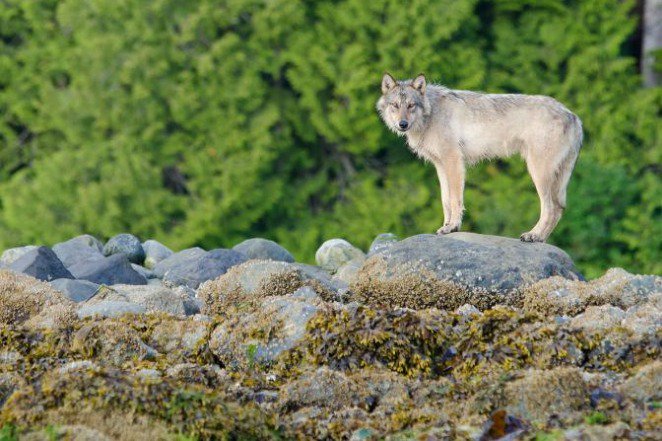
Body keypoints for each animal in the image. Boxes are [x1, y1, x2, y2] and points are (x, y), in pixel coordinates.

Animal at [376, 73, 582, 242]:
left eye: (411, 105)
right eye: (395, 105)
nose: (403, 124)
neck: (431, 113)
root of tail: (573, 116)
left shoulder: (454, 162)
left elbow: (455, 199)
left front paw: (452, 227)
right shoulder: (440, 166)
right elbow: (445, 200)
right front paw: (446, 226)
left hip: (538, 173)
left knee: (550, 209)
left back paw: (533, 235)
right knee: (559, 209)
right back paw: (541, 239)